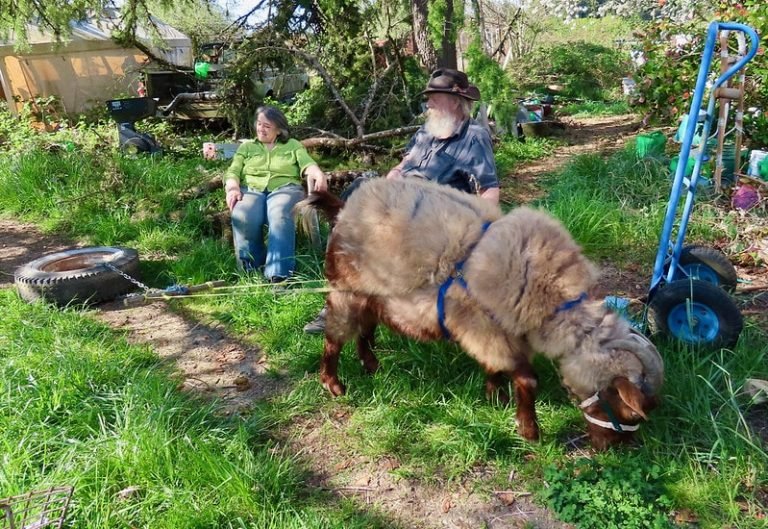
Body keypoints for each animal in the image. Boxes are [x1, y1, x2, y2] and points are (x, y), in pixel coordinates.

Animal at [304, 178, 664, 450]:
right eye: (631, 413)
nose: (611, 449)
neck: (551, 298)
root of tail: (343, 209)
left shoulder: (498, 332)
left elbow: (498, 368)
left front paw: (495, 395)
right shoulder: (484, 327)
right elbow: (528, 379)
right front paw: (529, 431)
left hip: (374, 296)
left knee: (366, 328)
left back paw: (371, 366)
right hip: (346, 291)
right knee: (334, 338)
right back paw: (333, 384)